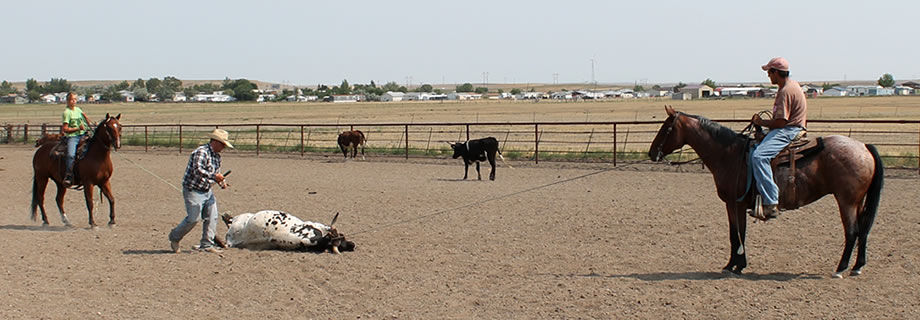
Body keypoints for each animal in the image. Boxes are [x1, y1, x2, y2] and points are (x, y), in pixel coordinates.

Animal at [648, 105, 884, 278]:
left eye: (666, 128)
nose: (652, 153)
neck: (728, 154)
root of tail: (863, 146)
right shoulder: (734, 205)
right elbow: (736, 234)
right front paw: (734, 265)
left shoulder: (735, 203)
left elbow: (738, 234)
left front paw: (735, 266)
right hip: (857, 202)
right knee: (863, 230)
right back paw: (857, 266)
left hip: (846, 201)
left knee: (852, 231)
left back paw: (840, 268)